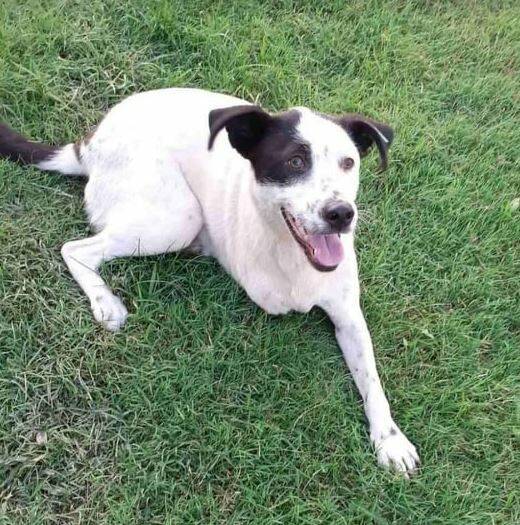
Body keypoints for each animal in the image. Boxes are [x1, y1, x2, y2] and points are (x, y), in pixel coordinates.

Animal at [1, 87, 419, 475]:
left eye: (348, 162)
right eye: (295, 161)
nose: (341, 214)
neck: (293, 253)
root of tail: (88, 144)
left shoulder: (349, 316)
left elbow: (372, 380)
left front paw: (390, 440)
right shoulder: (270, 294)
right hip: (177, 216)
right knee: (75, 249)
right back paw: (106, 302)